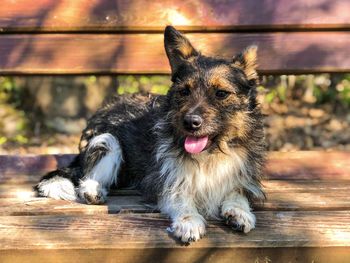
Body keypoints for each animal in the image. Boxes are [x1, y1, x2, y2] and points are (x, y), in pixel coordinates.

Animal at [34, 25, 266, 244]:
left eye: (221, 93)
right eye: (184, 91)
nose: (190, 123)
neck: (210, 154)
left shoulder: (241, 173)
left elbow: (237, 192)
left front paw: (239, 210)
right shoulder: (160, 179)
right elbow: (178, 195)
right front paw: (189, 220)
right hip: (107, 140)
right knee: (88, 173)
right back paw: (93, 190)